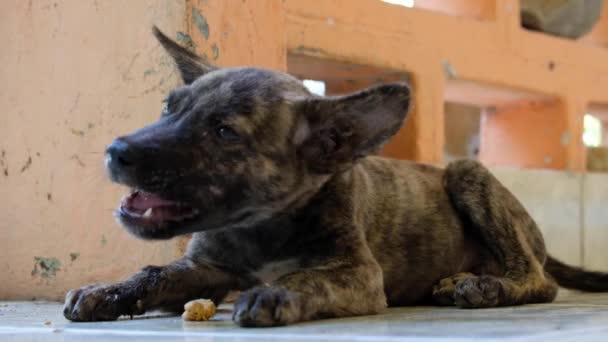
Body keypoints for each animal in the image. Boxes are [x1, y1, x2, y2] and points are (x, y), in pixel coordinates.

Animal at [63, 26, 608, 326]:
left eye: (224, 132)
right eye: (168, 107)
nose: (116, 152)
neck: (260, 227)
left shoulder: (361, 276)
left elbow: (310, 277)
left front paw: (279, 291)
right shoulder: (207, 268)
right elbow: (156, 272)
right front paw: (106, 291)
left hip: (468, 173)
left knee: (540, 282)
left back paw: (484, 287)